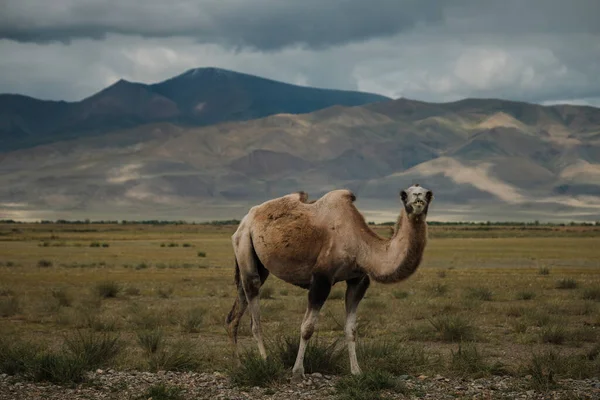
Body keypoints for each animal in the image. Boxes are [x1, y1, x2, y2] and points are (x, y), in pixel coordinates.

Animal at [225, 184, 432, 378]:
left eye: (428, 193)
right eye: (404, 194)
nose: (418, 198)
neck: (361, 245)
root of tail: (245, 220)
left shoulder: (358, 280)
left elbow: (351, 329)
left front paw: (356, 371)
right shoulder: (322, 279)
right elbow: (307, 327)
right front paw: (297, 371)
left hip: (257, 262)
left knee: (234, 312)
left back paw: (238, 365)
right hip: (244, 244)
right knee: (254, 310)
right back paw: (265, 361)